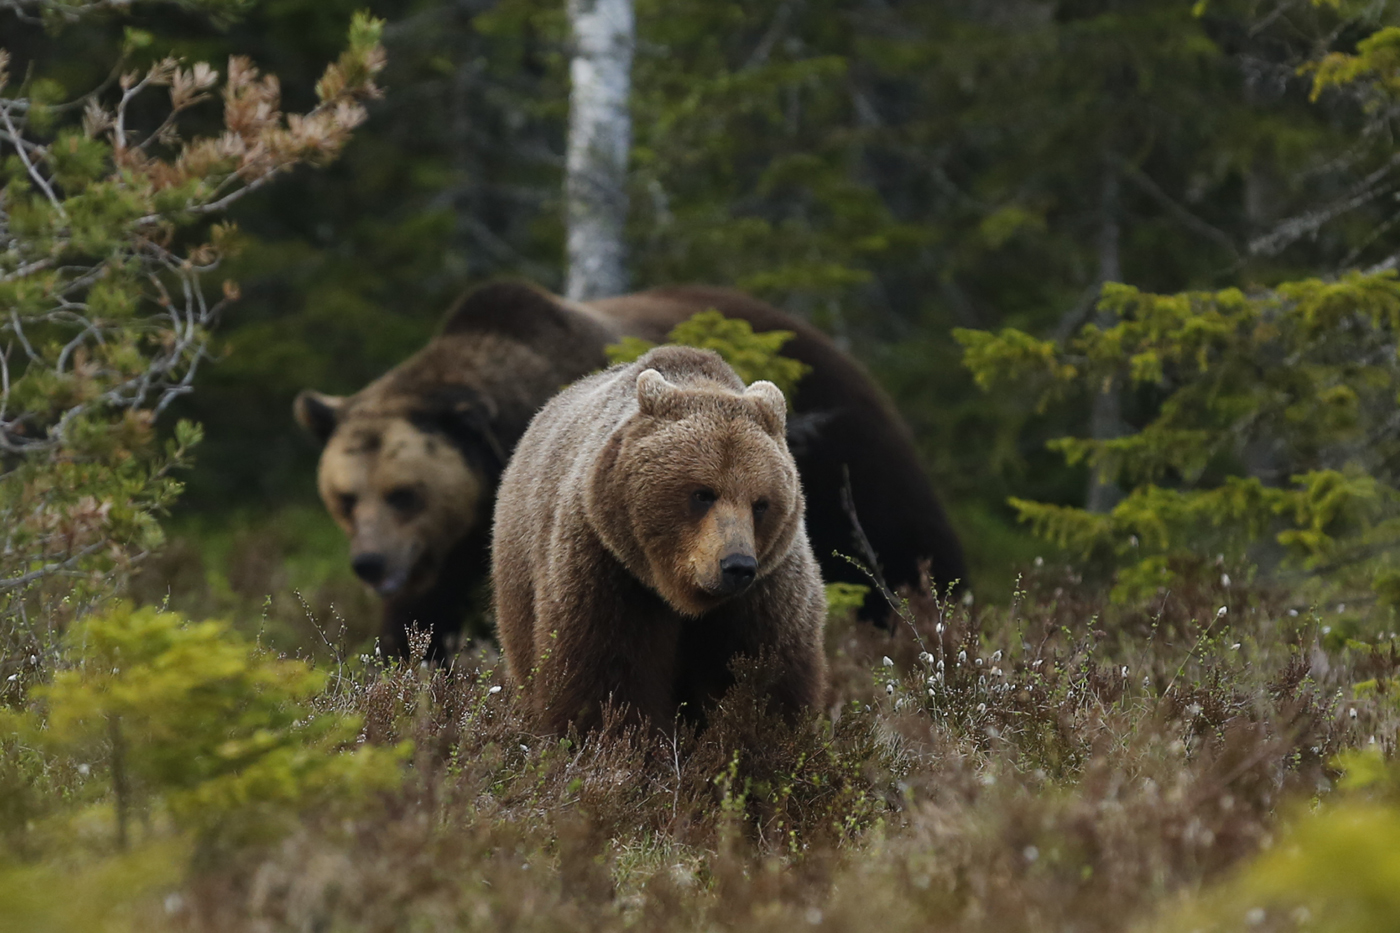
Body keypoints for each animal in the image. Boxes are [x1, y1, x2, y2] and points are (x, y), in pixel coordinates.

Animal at [298, 280, 963, 650]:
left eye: (404, 493)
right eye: (346, 498)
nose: (369, 562)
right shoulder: (458, 548)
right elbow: (421, 624)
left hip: (848, 463)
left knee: (903, 549)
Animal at [490, 344, 823, 728]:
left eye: (761, 503)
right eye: (702, 493)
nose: (737, 566)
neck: (682, 595)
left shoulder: (766, 592)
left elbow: (770, 679)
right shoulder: (609, 568)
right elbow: (606, 677)